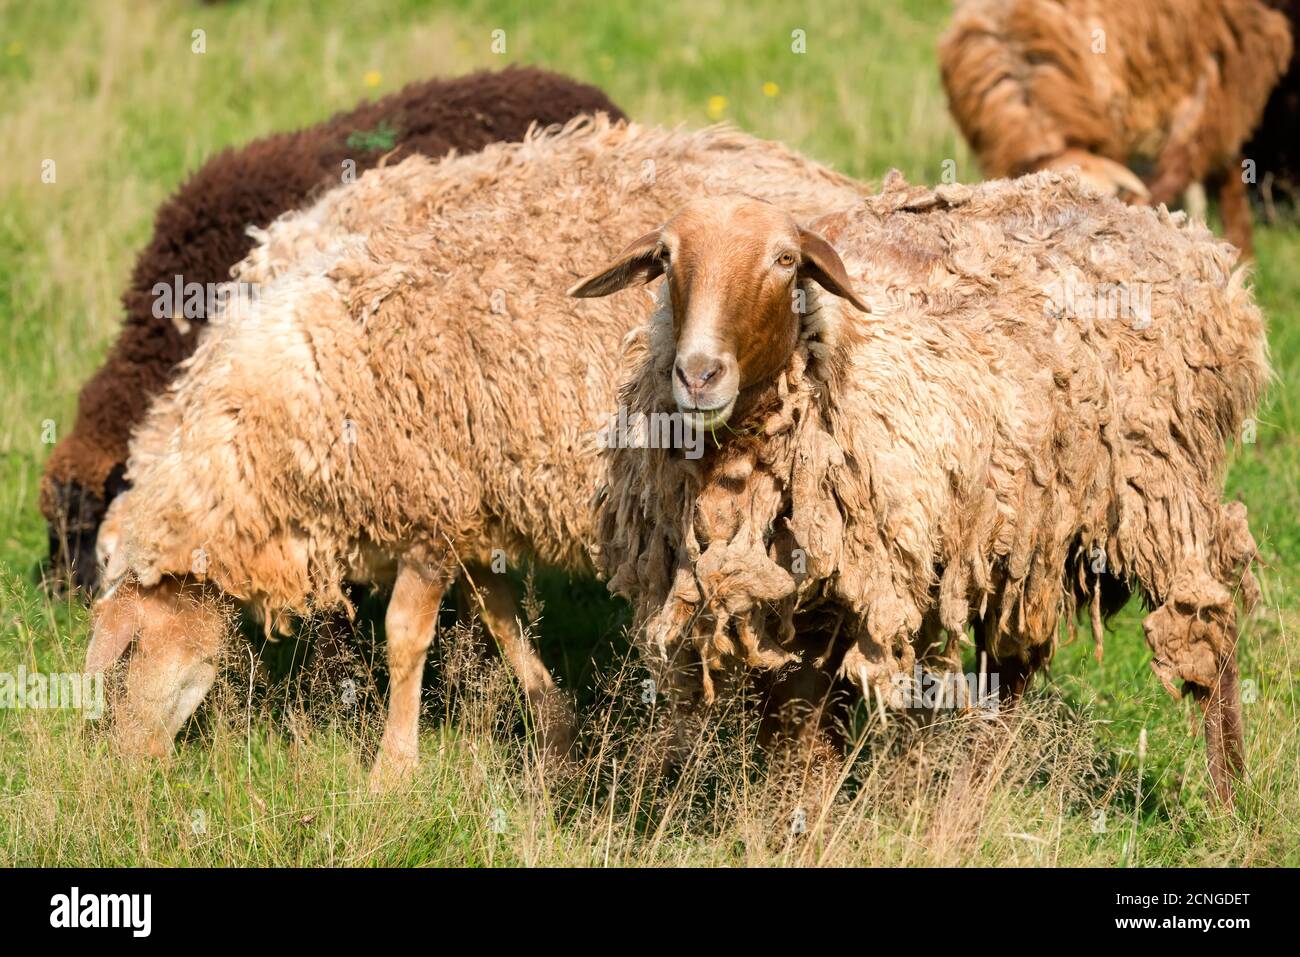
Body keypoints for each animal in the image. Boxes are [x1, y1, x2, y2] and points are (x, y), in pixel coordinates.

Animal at [86, 117, 871, 787]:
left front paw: (392, 771)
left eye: (125, 663)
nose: (129, 770)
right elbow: (500, 617)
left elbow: (405, 637)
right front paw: (556, 735)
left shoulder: (431, 502)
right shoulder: (471, 505)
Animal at [578, 174, 1266, 804]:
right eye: (668, 258)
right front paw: (795, 814)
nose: (699, 374)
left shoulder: (850, 587)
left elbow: (805, 723)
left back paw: (1230, 796)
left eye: (785, 260)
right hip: (1028, 525)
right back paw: (973, 788)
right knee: (1013, 659)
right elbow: (794, 725)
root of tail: (1180, 236)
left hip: (1158, 489)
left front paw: (804, 822)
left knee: (1209, 624)